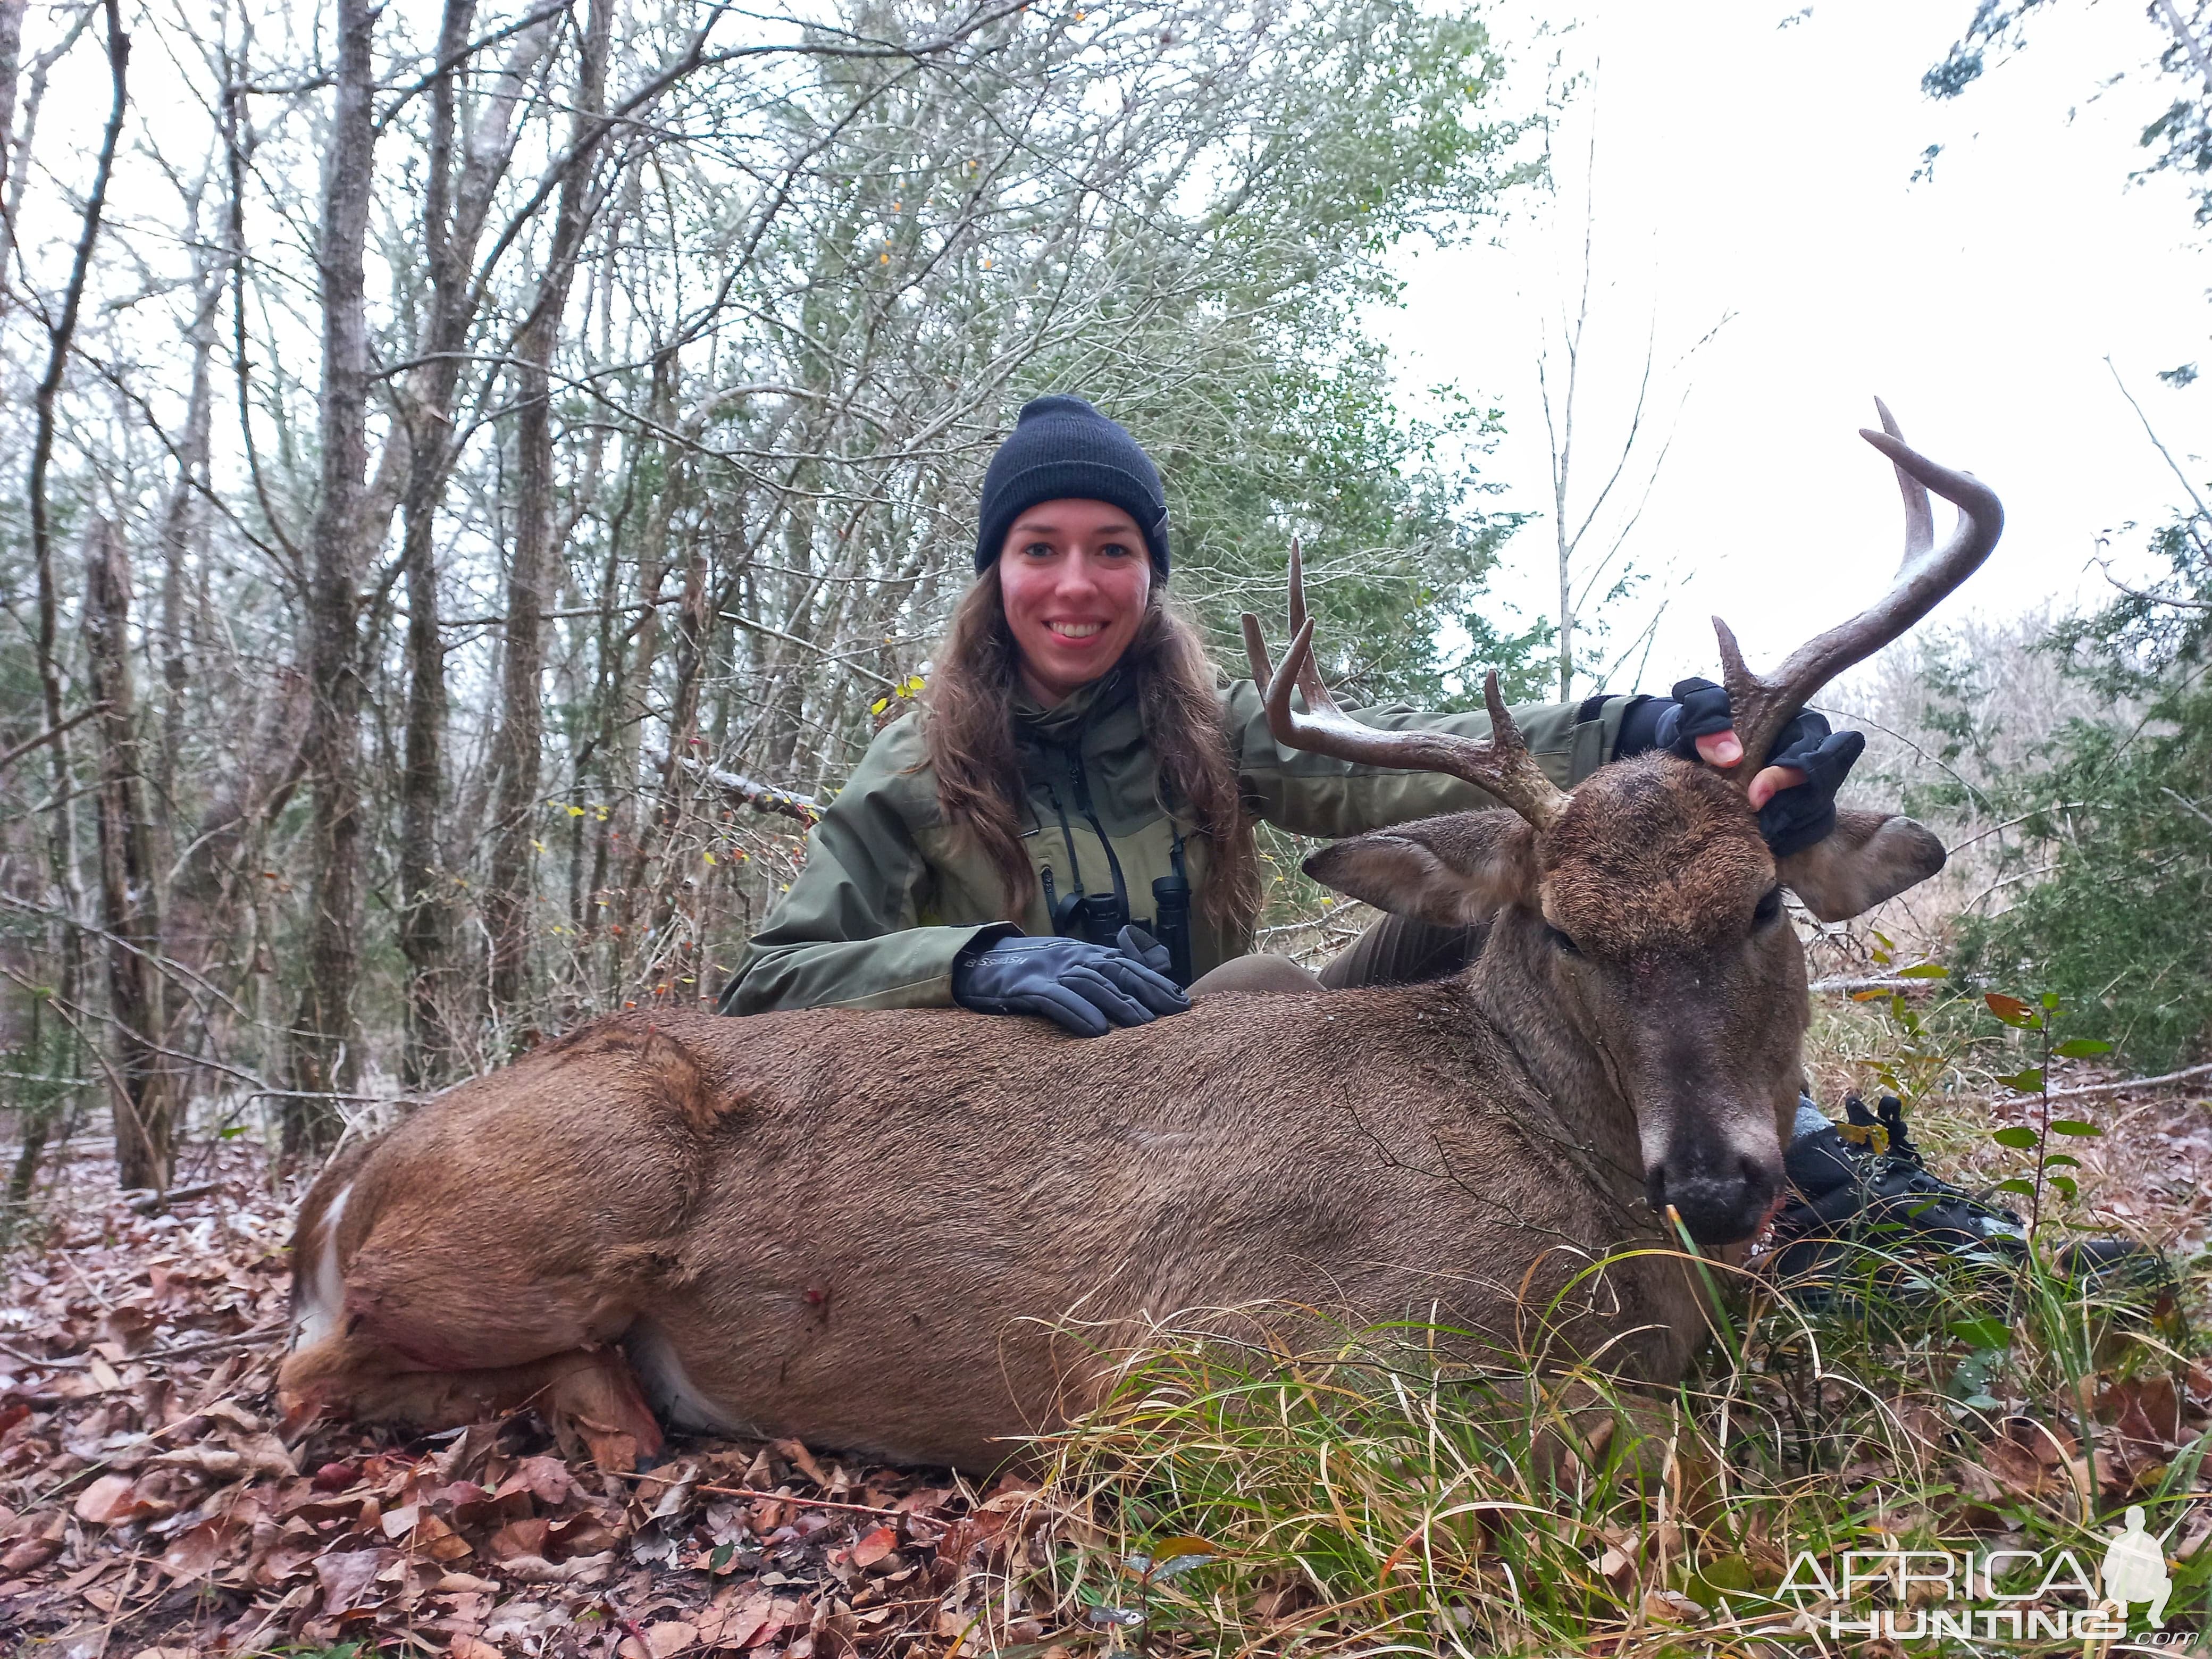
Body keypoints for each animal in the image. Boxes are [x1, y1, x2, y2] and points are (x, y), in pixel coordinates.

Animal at [281, 409, 2008, 1477]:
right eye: (1564, 931)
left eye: (1762, 899)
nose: (1716, 1181)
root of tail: (338, 1183)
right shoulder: (1208, 1361)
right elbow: (1659, 1443)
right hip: (561, 1197)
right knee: (325, 1370)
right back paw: (615, 1409)